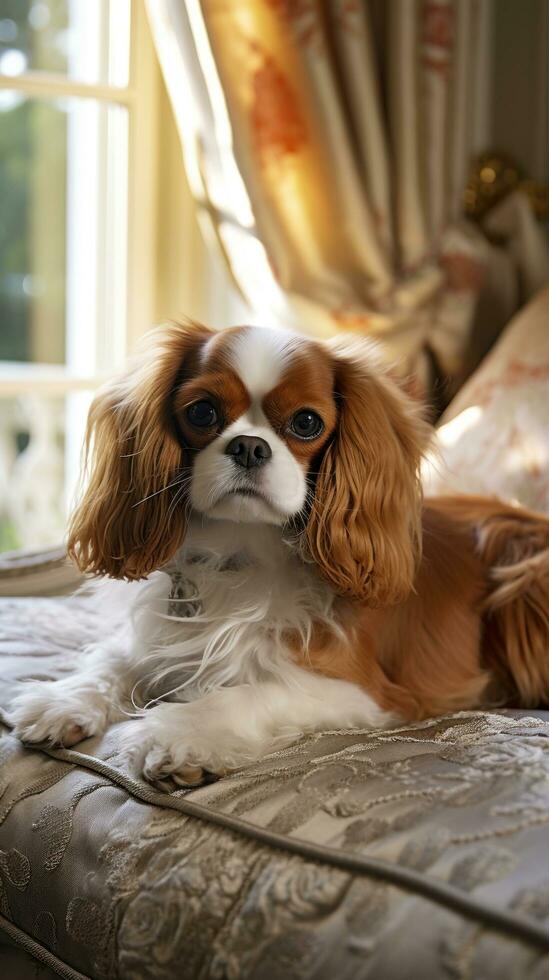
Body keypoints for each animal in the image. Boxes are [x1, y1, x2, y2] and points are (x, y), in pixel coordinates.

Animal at [9, 324, 548, 788]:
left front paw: (181, 733)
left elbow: (252, 692)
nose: (249, 446)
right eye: (202, 412)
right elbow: (118, 659)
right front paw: (66, 698)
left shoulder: (367, 691)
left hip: (523, 581)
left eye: (306, 422)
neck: (240, 550)